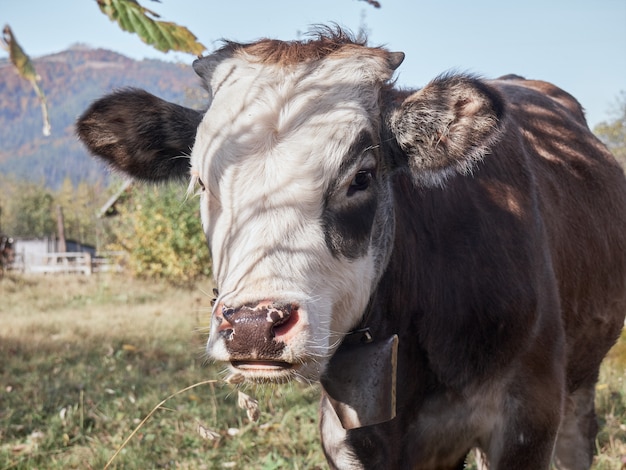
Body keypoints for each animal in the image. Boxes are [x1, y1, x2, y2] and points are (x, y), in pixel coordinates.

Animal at [78, 30, 624, 470]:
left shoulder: (526, 418)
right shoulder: (346, 434)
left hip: (579, 380)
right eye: (201, 182)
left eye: (361, 177)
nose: (253, 325)